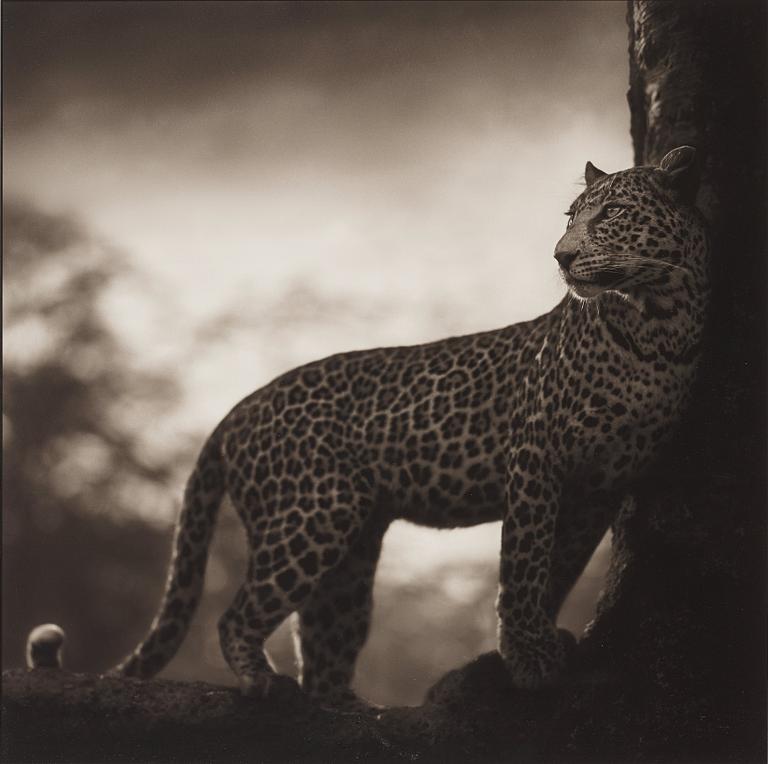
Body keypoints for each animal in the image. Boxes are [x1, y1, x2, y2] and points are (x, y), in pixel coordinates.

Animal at [104, 146, 709, 710]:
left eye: (613, 211)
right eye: (571, 217)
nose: (562, 255)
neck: (659, 325)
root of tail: (237, 408)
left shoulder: (601, 486)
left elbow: (559, 565)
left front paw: (542, 637)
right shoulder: (536, 456)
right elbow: (524, 562)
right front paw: (527, 656)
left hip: (350, 554)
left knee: (324, 641)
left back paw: (342, 705)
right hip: (313, 512)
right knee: (236, 614)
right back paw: (261, 680)